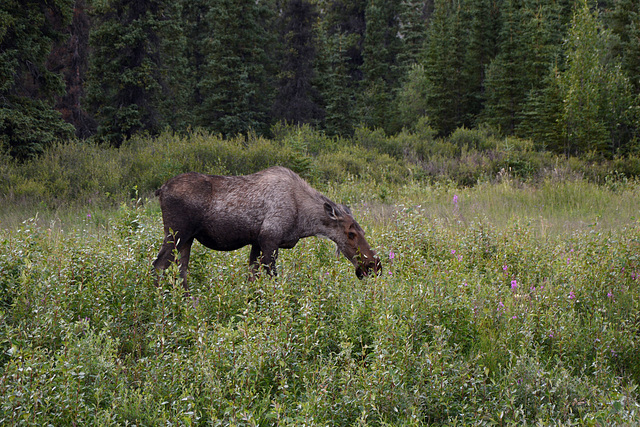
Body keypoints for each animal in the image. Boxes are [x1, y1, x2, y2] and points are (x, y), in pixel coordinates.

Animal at [152, 167, 382, 288]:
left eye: (362, 231)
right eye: (350, 233)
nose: (374, 266)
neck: (304, 221)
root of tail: (160, 190)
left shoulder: (256, 241)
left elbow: (252, 278)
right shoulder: (270, 239)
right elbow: (271, 279)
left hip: (187, 239)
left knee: (181, 271)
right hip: (176, 233)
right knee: (159, 265)